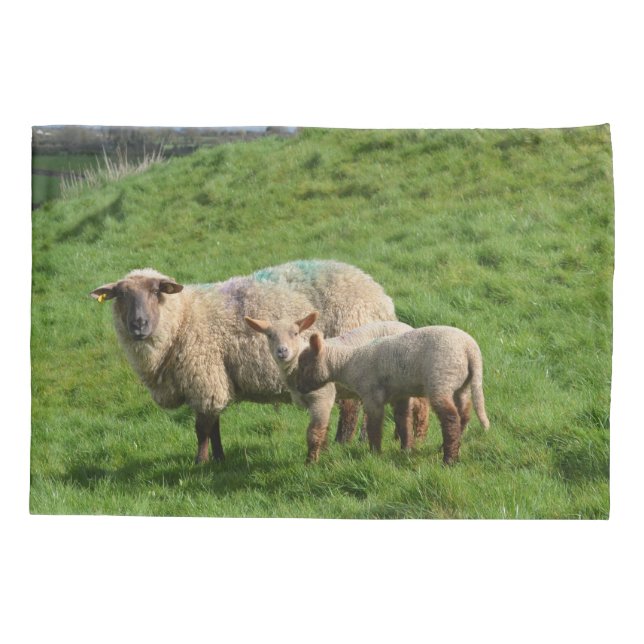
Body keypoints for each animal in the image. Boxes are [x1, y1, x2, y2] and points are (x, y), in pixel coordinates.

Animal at [90, 260, 396, 463]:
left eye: (157, 292)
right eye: (120, 295)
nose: (138, 325)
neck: (183, 318)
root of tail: (379, 295)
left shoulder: (205, 377)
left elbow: (201, 428)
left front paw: (200, 463)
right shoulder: (215, 379)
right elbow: (213, 425)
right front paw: (219, 459)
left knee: (350, 407)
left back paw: (342, 443)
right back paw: (357, 441)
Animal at [244, 312, 429, 462]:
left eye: (295, 333)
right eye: (269, 335)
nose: (282, 351)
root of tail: (408, 326)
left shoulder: (321, 396)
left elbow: (314, 432)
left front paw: (311, 462)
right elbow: (324, 429)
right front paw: (324, 453)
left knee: (421, 406)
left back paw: (419, 438)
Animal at [296, 325, 490, 465]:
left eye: (304, 365)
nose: (299, 389)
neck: (349, 363)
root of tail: (470, 350)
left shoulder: (372, 396)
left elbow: (374, 427)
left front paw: (375, 453)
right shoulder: (400, 395)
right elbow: (403, 421)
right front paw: (406, 450)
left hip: (442, 379)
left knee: (450, 418)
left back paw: (448, 459)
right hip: (461, 386)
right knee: (464, 414)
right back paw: (450, 449)